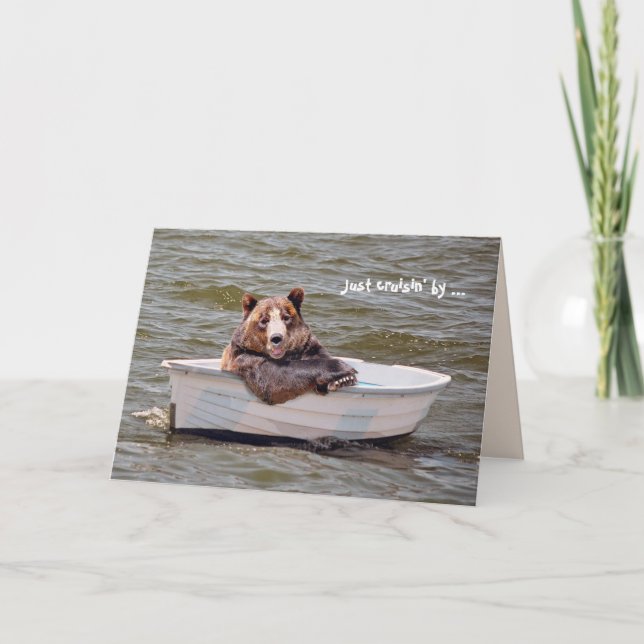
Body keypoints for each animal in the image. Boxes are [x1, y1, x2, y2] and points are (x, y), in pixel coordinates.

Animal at [221, 287, 358, 405]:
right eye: (264, 320)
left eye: (286, 317)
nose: (276, 338)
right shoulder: (246, 357)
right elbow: (274, 379)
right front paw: (341, 367)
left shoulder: (306, 345)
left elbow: (318, 353)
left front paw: (343, 380)